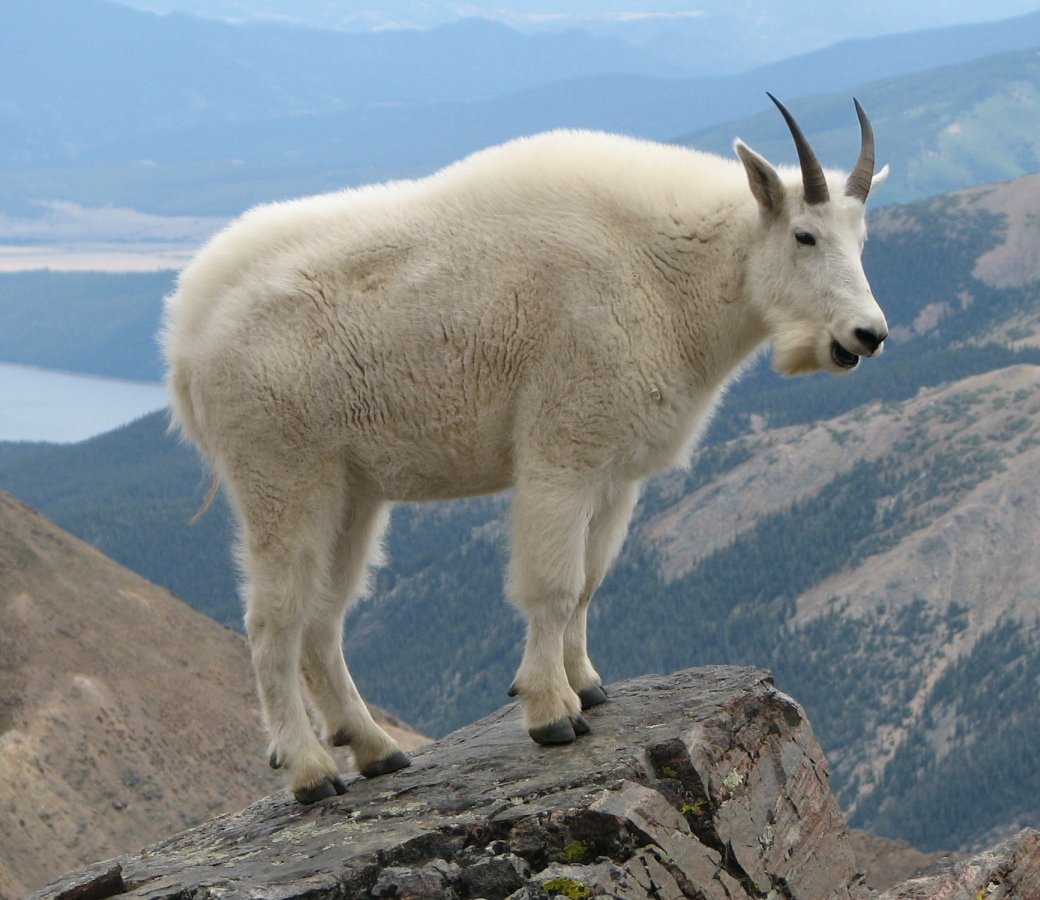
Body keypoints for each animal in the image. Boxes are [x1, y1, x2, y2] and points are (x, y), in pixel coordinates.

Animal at [163, 95, 889, 803]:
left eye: (862, 240)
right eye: (804, 235)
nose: (868, 335)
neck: (667, 271)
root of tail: (186, 334)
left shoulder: (614, 472)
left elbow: (591, 580)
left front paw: (588, 685)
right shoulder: (560, 452)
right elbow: (555, 583)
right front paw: (551, 711)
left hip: (351, 491)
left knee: (322, 619)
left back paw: (376, 749)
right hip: (281, 473)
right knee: (273, 620)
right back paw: (310, 771)